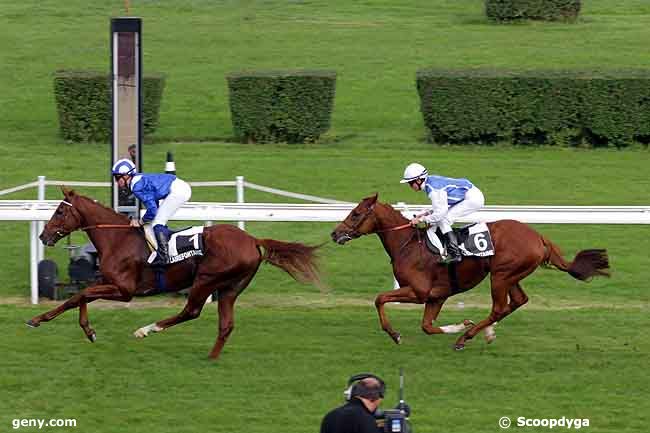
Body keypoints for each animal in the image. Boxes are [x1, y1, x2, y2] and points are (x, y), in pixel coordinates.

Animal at [29, 189, 320, 358]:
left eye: (60, 211)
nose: (43, 236)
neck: (117, 237)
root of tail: (252, 240)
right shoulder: (108, 281)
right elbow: (82, 295)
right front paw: (88, 330)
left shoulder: (125, 290)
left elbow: (79, 295)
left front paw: (38, 319)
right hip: (230, 287)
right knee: (225, 324)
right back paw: (211, 358)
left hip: (206, 279)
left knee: (191, 311)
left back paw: (146, 330)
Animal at [330, 194, 608, 350]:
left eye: (355, 214)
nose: (334, 233)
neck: (407, 245)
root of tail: (538, 237)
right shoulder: (436, 296)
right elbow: (427, 326)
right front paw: (457, 325)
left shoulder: (419, 292)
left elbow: (380, 299)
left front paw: (395, 334)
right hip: (510, 275)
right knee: (517, 301)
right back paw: (484, 332)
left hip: (501, 275)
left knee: (499, 307)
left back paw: (466, 337)